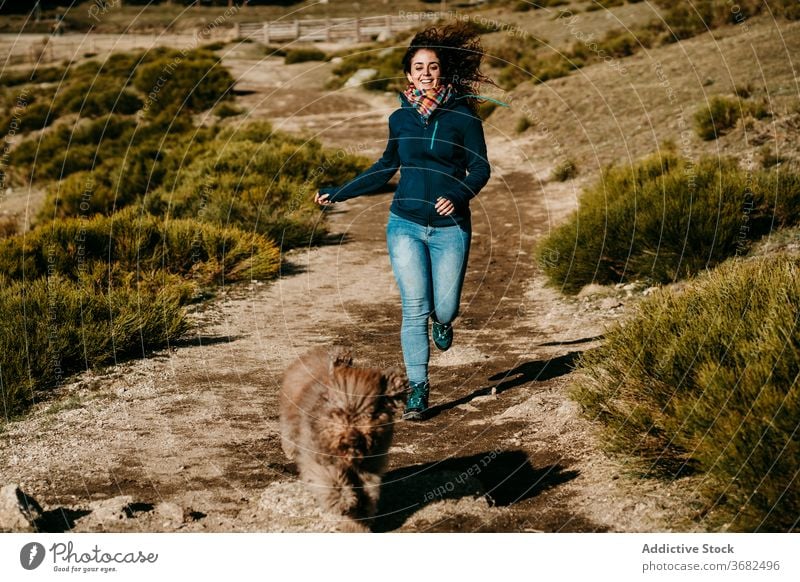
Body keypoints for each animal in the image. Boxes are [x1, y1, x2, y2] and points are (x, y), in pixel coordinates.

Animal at [280, 346, 406, 532]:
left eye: (369, 415)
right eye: (340, 413)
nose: (353, 437)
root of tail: (314, 355)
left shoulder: (370, 467)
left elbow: (368, 492)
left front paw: (357, 522)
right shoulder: (319, 458)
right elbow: (331, 480)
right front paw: (344, 501)